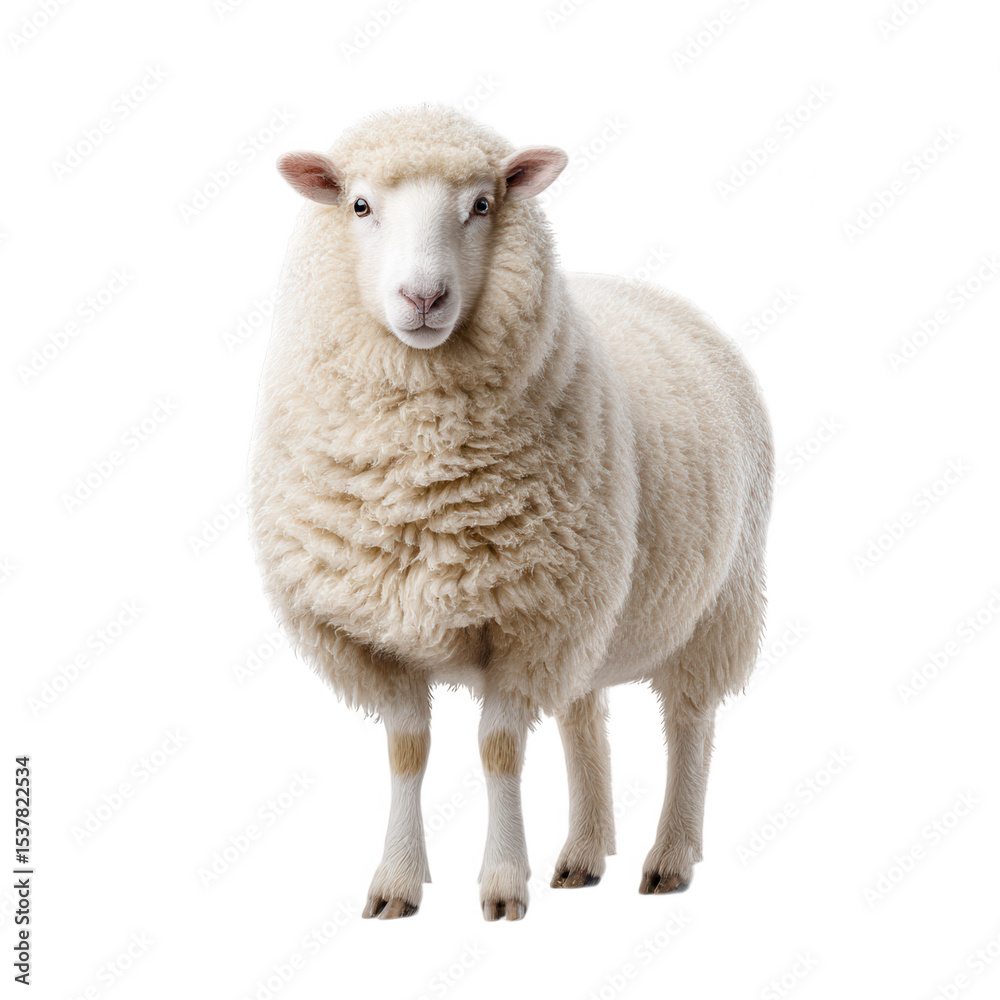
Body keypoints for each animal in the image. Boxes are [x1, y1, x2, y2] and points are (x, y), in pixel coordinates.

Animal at [248, 104, 774, 922]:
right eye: (358, 205)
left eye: (482, 204)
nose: (423, 299)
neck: (420, 473)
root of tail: (656, 295)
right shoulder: (378, 635)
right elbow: (407, 750)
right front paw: (397, 883)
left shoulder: (530, 625)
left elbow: (499, 750)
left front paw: (500, 884)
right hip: (596, 613)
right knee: (585, 718)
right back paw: (584, 853)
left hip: (719, 600)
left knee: (689, 721)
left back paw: (669, 858)